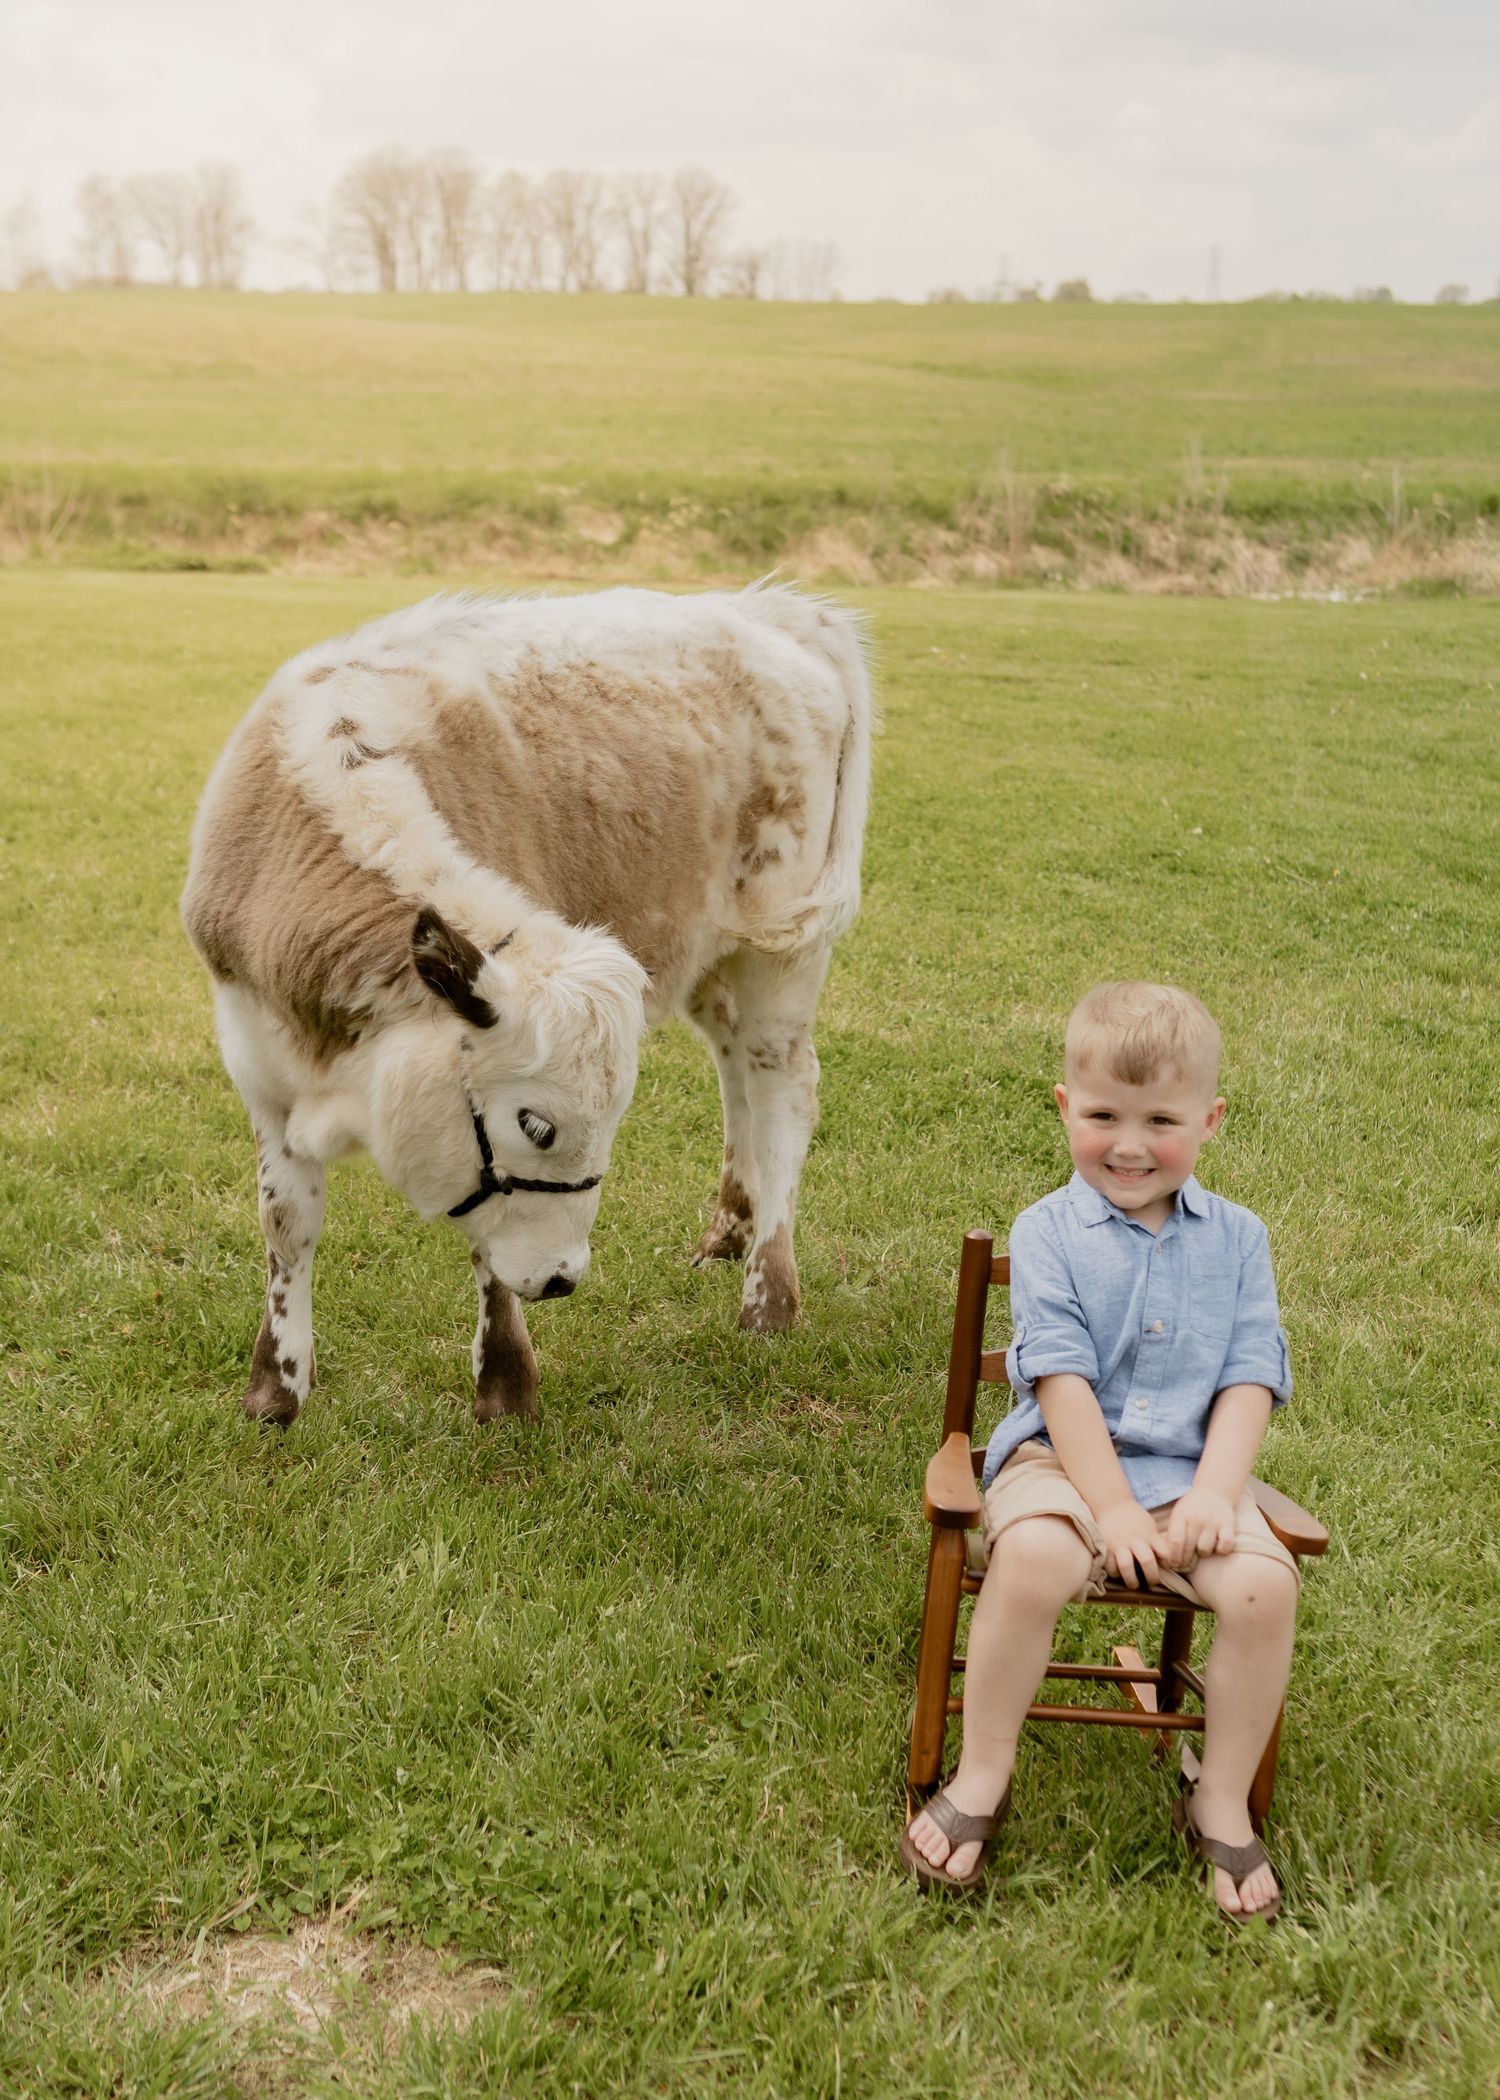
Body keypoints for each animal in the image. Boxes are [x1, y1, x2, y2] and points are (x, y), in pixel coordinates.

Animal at [181, 583, 872, 1424]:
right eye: (538, 1124)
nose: (563, 1277)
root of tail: (776, 612)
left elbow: (486, 1251)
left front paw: (505, 1384)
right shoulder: (258, 1068)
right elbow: (287, 1225)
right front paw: (276, 1390)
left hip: (781, 951)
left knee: (784, 1095)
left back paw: (768, 1297)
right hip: (716, 960)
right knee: (736, 1071)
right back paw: (728, 1233)